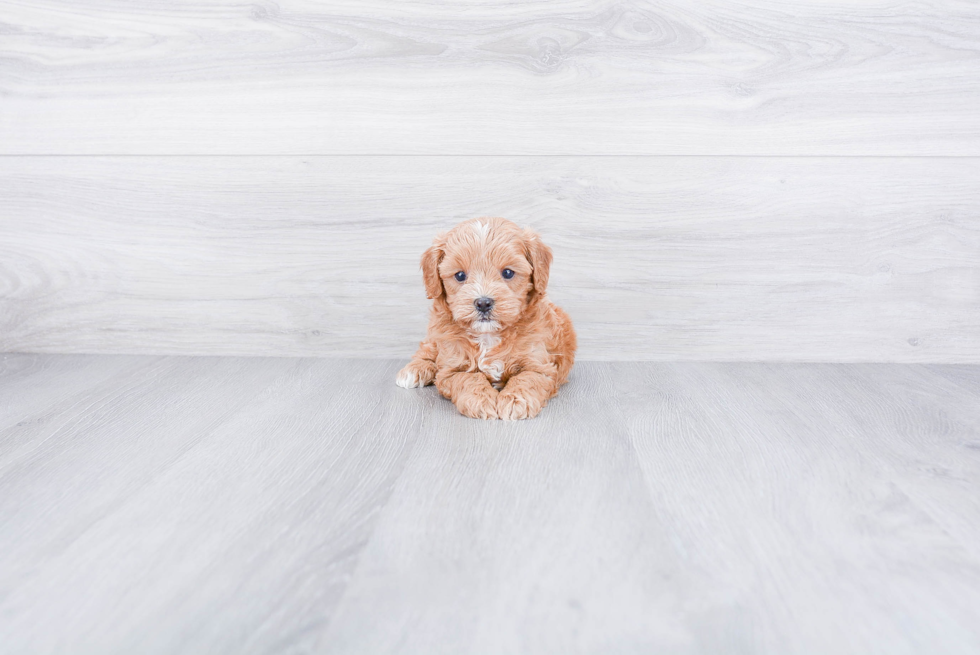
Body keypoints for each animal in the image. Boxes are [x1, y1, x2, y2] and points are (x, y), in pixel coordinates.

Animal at [394, 217, 576, 420]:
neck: (488, 335)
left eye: (507, 273)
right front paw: (481, 400)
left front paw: (515, 401)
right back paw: (413, 370)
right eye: (460, 275)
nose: (483, 303)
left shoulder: (541, 366)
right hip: (435, 335)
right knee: (427, 350)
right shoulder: (451, 368)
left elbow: (526, 378)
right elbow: (468, 377)